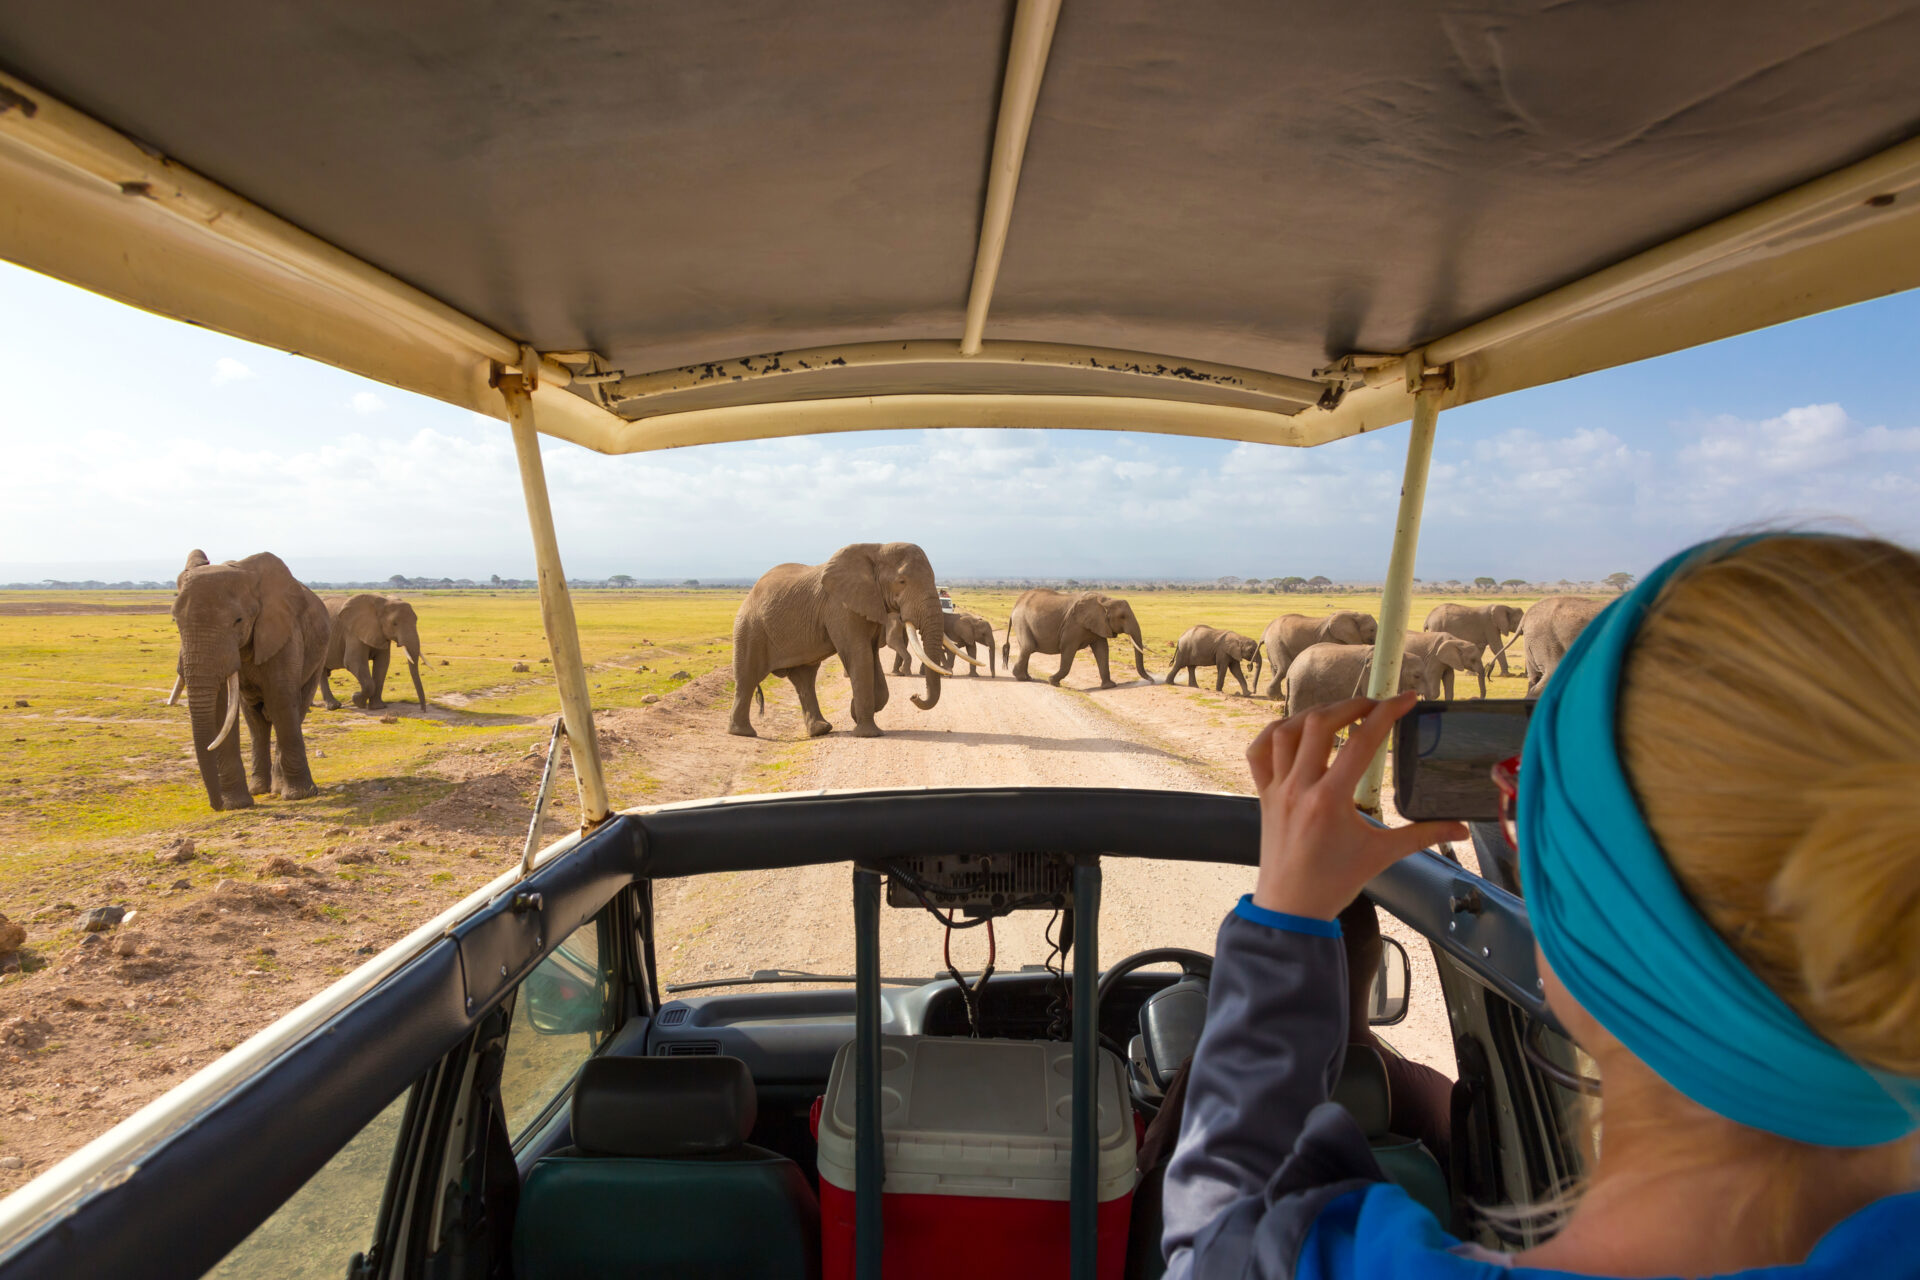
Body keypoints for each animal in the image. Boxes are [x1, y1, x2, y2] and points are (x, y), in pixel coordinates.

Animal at [170, 549, 331, 810]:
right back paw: (260, 789)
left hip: (319, 652)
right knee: (256, 722)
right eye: (175, 621)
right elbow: (221, 709)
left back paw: (279, 789)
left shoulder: (284, 633)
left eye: (238, 620)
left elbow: (281, 700)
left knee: (294, 707)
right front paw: (236, 804)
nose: (216, 805)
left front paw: (300, 795)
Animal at [728, 542, 981, 738]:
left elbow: (872, 657)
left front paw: (854, 711)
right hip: (750, 628)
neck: (877, 549)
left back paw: (820, 730)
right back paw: (743, 733)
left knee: (804, 678)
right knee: (748, 677)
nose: (914, 695)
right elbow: (859, 655)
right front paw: (868, 733)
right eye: (902, 581)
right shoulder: (840, 607)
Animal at [1001, 590, 1152, 687]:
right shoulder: (1073, 626)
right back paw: (1021, 678)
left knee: (1026, 649)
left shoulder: (1099, 625)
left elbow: (1102, 650)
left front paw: (1109, 686)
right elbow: (1068, 649)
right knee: (1028, 647)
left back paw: (1028, 678)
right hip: (1021, 621)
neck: (1106, 601)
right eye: (1122, 617)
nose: (1152, 680)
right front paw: (1053, 682)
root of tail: (1015, 606)